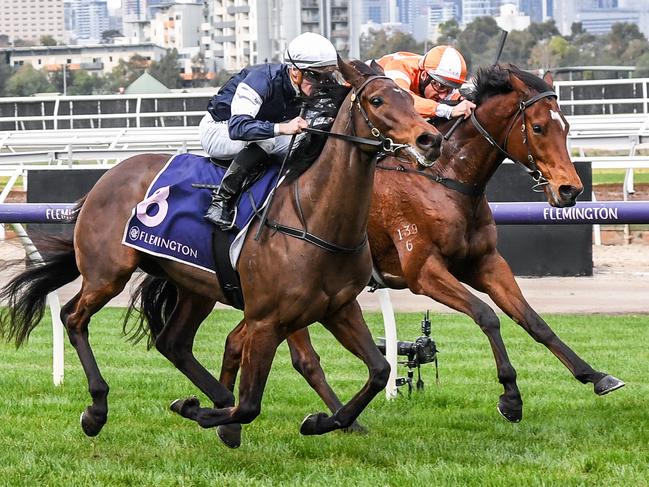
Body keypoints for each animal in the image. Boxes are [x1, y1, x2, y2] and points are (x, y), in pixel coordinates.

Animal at [0, 59, 440, 448]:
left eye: (408, 97)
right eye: (378, 100)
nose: (429, 139)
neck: (313, 216)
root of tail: (104, 180)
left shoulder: (339, 308)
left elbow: (380, 370)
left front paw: (321, 422)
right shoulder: (266, 320)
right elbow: (250, 405)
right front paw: (202, 413)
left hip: (194, 286)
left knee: (173, 343)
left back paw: (213, 401)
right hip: (108, 273)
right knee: (73, 316)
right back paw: (97, 409)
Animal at [213, 63, 624, 432]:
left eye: (565, 126)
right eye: (538, 127)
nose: (570, 189)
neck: (446, 178)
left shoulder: (486, 263)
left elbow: (533, 320)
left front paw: (595, 375)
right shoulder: (424, 272)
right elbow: (486, 316)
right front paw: (510, 396)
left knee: (237, 339)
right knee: (303, 357)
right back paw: (337, 420)